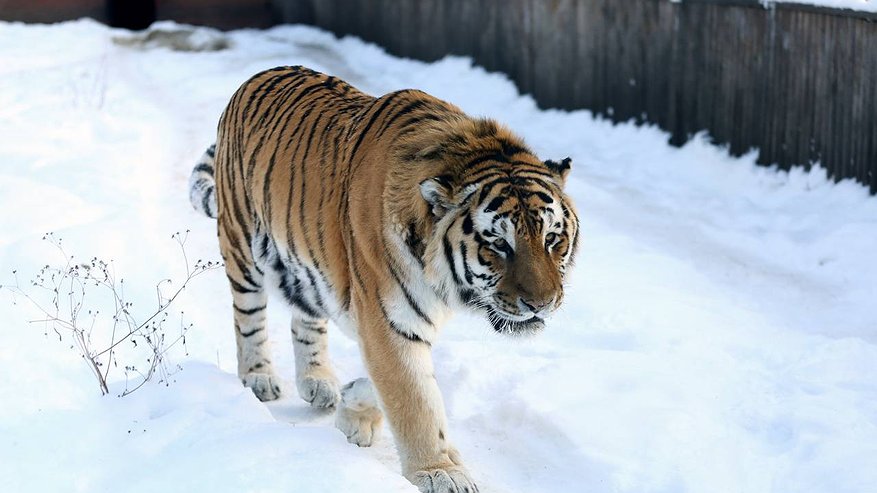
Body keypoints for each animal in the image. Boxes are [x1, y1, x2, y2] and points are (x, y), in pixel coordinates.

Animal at [188, 66, 580, 492]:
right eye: (499, 244)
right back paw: (258, 377)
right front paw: (439, 471)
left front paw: (352, 409)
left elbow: (399, 384)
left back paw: (318, 382)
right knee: (249, 318)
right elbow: (415, 399)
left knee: (306, 318)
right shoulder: (387, 319)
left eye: (552, 239)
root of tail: (258, 76)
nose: (542, 304)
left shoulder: (395, 324)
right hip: (242, 246)